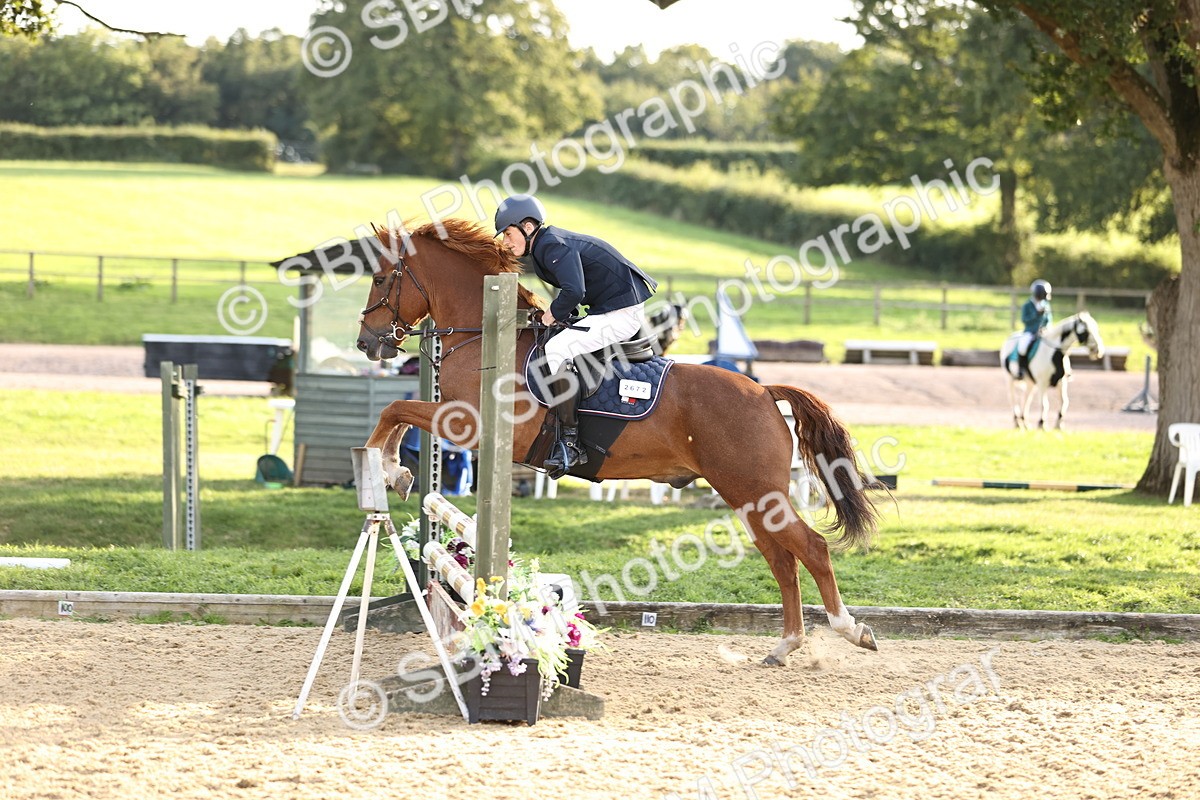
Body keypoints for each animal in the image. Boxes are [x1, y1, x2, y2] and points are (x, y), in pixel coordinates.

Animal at [356, 218, 883, 666]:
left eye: (381, 279)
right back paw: (785, 645)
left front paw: (385, 467)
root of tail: (763, 391)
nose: (367, 343)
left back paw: (850, 630)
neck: (483, 333)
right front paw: (396, 472)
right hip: (747, 497)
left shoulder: (470, 426)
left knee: (811, 548)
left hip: (755, 489)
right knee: (782, 560)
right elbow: (400, 412)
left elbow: (395, 408)